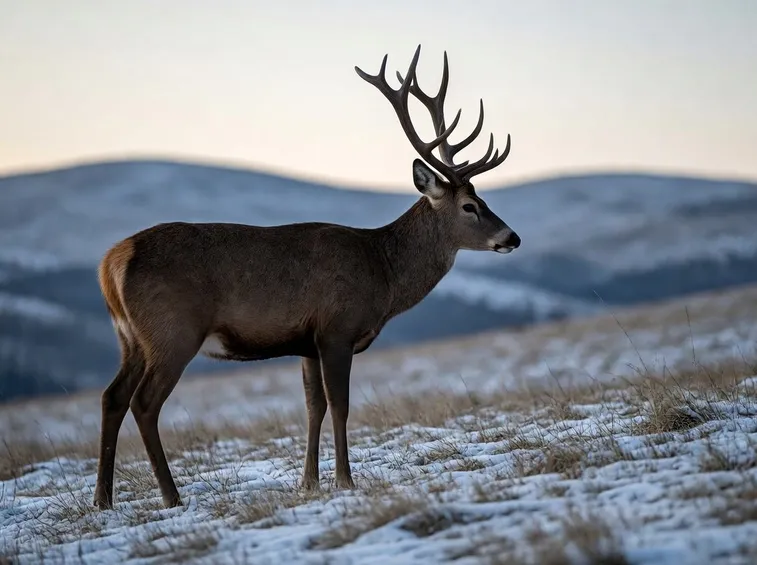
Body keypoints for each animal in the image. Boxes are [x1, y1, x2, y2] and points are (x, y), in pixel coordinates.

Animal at [93, 44, 521, 510]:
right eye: (469, 206)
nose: (512, 237)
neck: (382, 272)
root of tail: (111, 262)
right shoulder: (336, 329)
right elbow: (341, 405)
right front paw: (345, 480)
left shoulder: (306, 342)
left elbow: (313, 406)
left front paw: (309, 481)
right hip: (173, 331)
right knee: (144, 402)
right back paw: (171, 497)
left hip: (131, 338)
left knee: (112, 396)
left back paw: (103, 500)